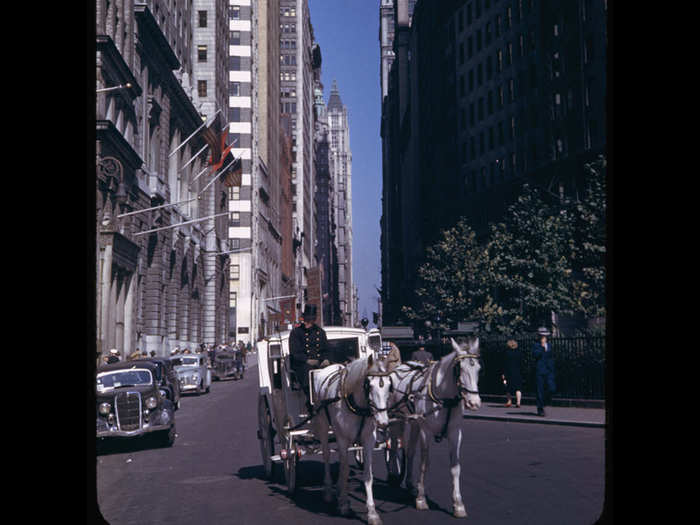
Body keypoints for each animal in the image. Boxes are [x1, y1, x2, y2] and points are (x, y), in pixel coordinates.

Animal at [310, 354, 392, 520]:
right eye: (369, 385)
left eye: (388, 385)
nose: (383, 422)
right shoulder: (342, 439)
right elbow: (345, 470)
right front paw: (343, 504)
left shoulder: (368, 439)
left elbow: (367, 474)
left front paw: (372, 512)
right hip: (323, 425)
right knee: (327, 456)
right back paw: (329, 491)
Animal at [388, 336, 482, 516]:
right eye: (459, 369)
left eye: (478, 369)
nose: (474, 403)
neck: (445, 399)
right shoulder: (426, 432)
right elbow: (425, 464)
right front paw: (421, 499)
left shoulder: (455, 433)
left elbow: (455, 467)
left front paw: (458, 504)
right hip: (396, 418)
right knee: (394, 446)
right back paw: (393, 473)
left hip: (415, 422)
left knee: (410, 452)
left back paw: (410, 484)